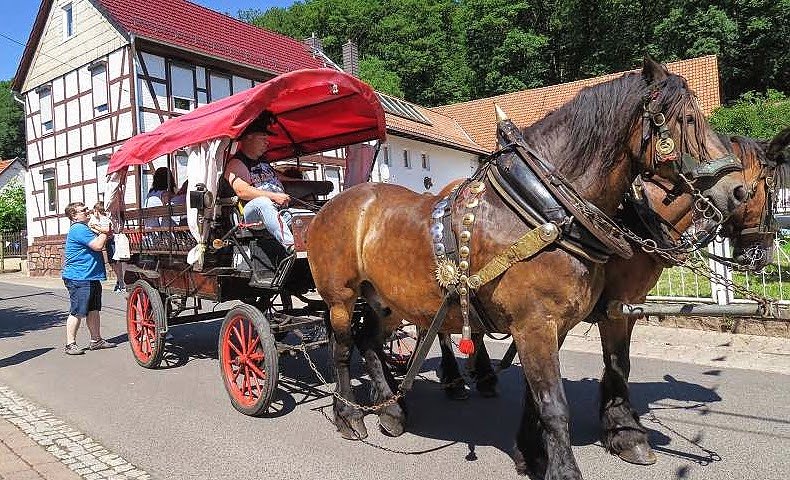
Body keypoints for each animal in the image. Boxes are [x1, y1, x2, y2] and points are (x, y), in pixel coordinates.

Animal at [306, 58, 744, 478]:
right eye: (685, 120)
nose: (735, 190)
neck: (541, 210)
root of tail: (336, 203)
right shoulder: (536, 323)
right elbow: (554, 404)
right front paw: (564, 469)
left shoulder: (559, 325)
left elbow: (538, 399)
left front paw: (531, 455)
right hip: (341, 298)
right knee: (343, 349)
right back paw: (349, 415)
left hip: (388, 300)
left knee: (370, 341)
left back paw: (391, 410)